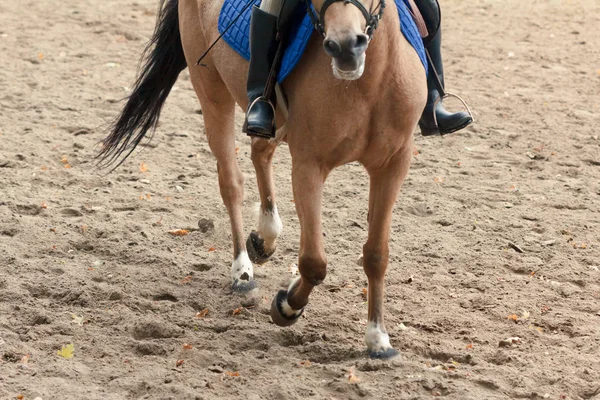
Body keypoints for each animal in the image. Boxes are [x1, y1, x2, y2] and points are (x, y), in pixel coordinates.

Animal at [98, 0, 426, 360]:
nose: (344, 47)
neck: (367, 83)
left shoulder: (393, 165)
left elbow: (377, 254)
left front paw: (378, 337)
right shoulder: (308, 166)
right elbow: (314, 262)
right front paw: (287, 306)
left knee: (260, 152)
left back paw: (266, 236)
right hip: (212, 94)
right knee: (231, 182)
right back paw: (243, 270)